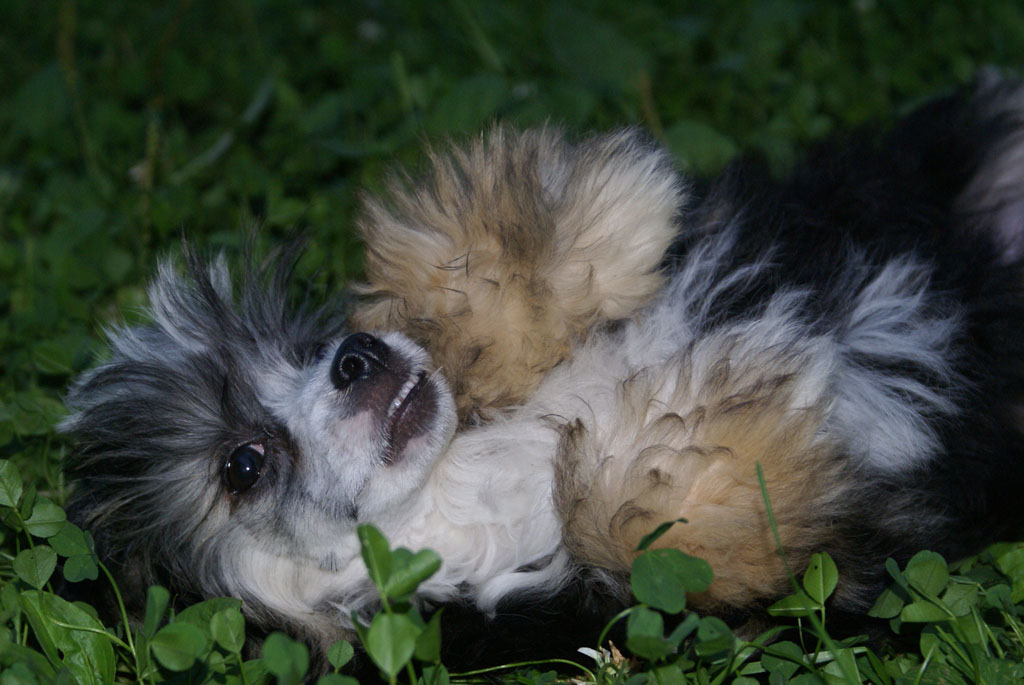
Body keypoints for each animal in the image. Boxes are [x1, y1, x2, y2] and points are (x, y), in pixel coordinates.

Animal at [63, 73, 1024, 669]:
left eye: (304, 347)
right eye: (243, 463)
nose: (357, 357)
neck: (470, 480)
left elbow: (487, 280)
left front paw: (613, 211)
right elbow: (637, 519)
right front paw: (714, 435)